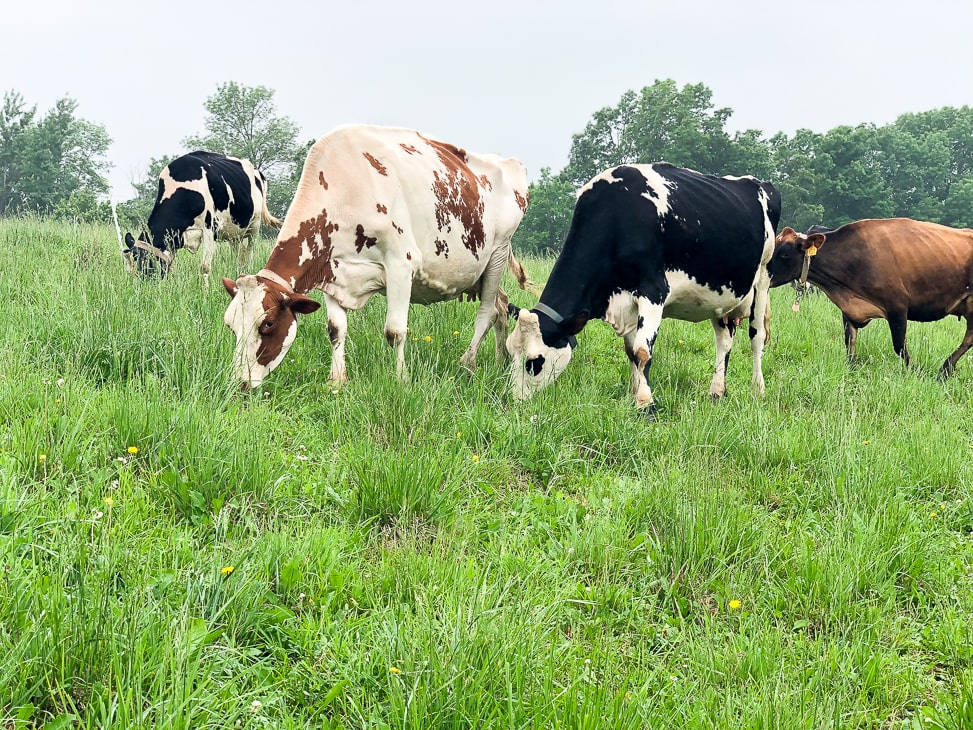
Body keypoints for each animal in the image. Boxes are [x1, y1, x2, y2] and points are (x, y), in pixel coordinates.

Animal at [122, 151, 280, 284]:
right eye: (133, 260)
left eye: (146, 259)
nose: (142, 284)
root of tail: (257, 171)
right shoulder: (173, 237)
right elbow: (169, 264)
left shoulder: (210, 228)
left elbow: (204, 266)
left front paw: (205, 292)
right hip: (234, 232)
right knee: (238, 256)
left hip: (254, 226)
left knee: (250, 252)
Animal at [221, 122, 532, 390]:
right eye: (230, 325)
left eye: (268, 323)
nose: (240, 383)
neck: (345, 188)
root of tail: (510, 164)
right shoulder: (332, 272)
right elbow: (335, 329)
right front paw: (337, 381)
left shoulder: (401, 264)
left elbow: (395, 332)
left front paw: (401, 380)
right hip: (476, 273)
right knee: (502, 307)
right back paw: (501, 360)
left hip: (497, 255)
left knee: (487, 313)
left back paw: (467, 365)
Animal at [504, 163, 780, 412]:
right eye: (509, 352)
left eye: (534, 361)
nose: (516, 401)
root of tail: (758, 183)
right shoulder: (626, 303)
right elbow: (630, 351)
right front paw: (634, 394)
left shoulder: (653, 291)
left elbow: (642, 351)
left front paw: (645, 404)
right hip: (722, 299)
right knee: (724, 341)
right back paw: (717, 392)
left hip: (763, 279)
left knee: (757, 338)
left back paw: (758, 390)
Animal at [768, 216, 972, 376]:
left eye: (784, 253)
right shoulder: (849, 310)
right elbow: (849, 345)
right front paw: (851, 372)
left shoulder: (898, 306)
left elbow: (899, 346)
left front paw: (917, 371)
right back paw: (946, 368)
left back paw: (945, 369)